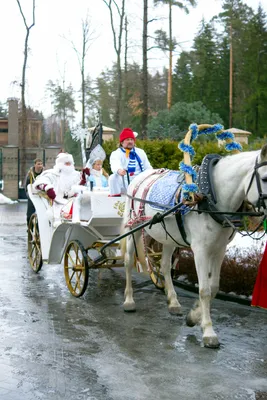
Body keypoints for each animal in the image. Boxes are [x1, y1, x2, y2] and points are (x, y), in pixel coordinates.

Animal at [122, 145, 267, 346]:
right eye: (265, 178)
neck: (210, 197)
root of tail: (140, 176)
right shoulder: (200, 250)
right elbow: (204, 289)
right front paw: (208, 332)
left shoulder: (220, 249)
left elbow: (214, 287)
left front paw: (194, 317)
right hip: (133, 227)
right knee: (128, 261)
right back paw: (129, 300)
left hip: (169, 237)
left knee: (165, 265)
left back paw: (173, 302)